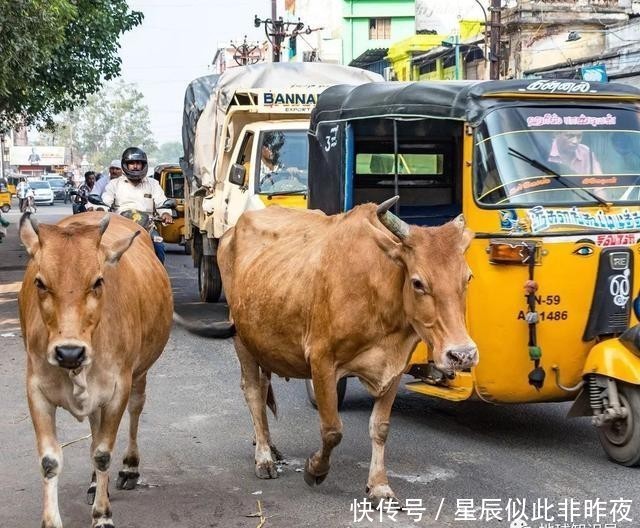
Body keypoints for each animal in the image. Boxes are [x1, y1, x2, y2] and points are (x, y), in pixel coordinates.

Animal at [18, 212, 172, 524]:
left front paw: (102, 515)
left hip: (139, 374)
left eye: (98, 281)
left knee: (135, 409)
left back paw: (129, 468)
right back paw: (94, 483)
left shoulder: (117, 390)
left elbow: (102, 453)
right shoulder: (36, 390)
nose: (69, 352)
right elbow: (50, 461)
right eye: (40, 282)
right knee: (94, 429)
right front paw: (51, 521)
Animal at [178, 197, 478, 500]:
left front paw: (379, 486)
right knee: (252, 391)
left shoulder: (394, 367)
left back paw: (269, 446)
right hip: (243, 339)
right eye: (418, 282)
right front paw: (315, 470)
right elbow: (332, 429)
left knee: (262, 389)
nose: (462, 354)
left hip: (264, 341)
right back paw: (264, 457)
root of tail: (232, 230)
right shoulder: (322, 362)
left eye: (468, 278)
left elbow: (380, 428)